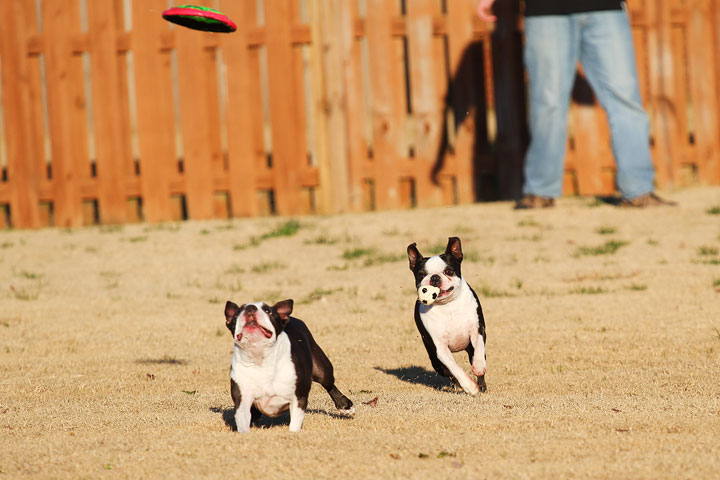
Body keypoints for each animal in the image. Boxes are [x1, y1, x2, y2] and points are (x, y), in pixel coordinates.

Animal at [222, 300, 352, 432]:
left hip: (321, 370)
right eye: (238, 312)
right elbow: (243, 423)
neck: (260, 359)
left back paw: (345, 405)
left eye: (268, 311)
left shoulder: (299, 399)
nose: (250, 308)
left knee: (329, 384)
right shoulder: (242, 401)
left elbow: (294, 424)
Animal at [404, 236, 490, 394]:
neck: (448, 306)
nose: (434, 278)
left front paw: (479, 366)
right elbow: (455, 368)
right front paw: (470, 387)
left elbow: (479, 348)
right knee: (448, 372)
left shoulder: (478, 330)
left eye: (449, 271)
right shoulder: (440, 348)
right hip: (435, 361)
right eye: (421, 274)